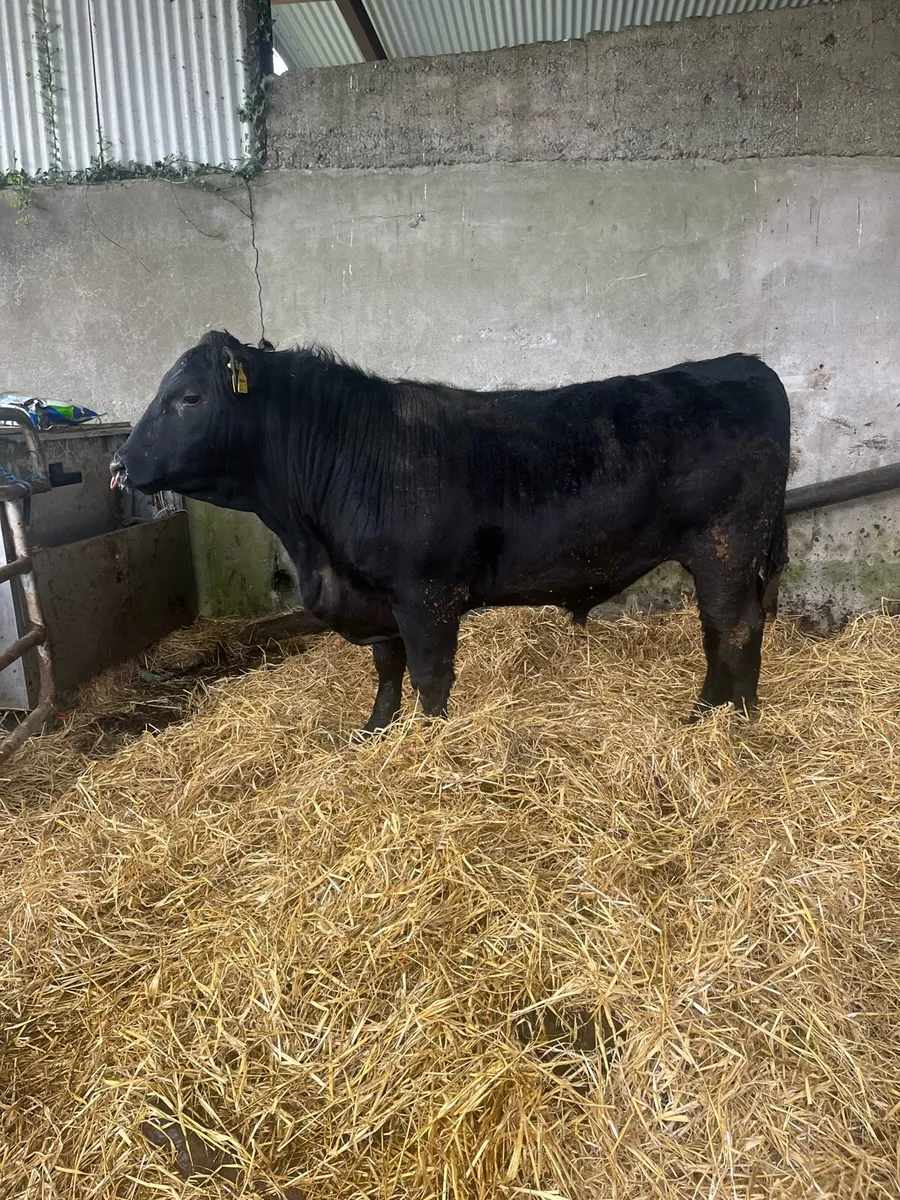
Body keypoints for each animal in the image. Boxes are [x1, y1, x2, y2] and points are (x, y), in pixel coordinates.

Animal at [111, 331, 790, 733]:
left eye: (189, 397)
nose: (119, 461)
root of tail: (749, 365)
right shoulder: (376, 596)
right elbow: (387, 668)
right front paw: (376, 732)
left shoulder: (426, 594)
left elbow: (429, 676)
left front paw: (429, 744)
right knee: (730, 626)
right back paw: (726, 713)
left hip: (726, 541)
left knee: (735, 626)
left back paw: (724, 720)